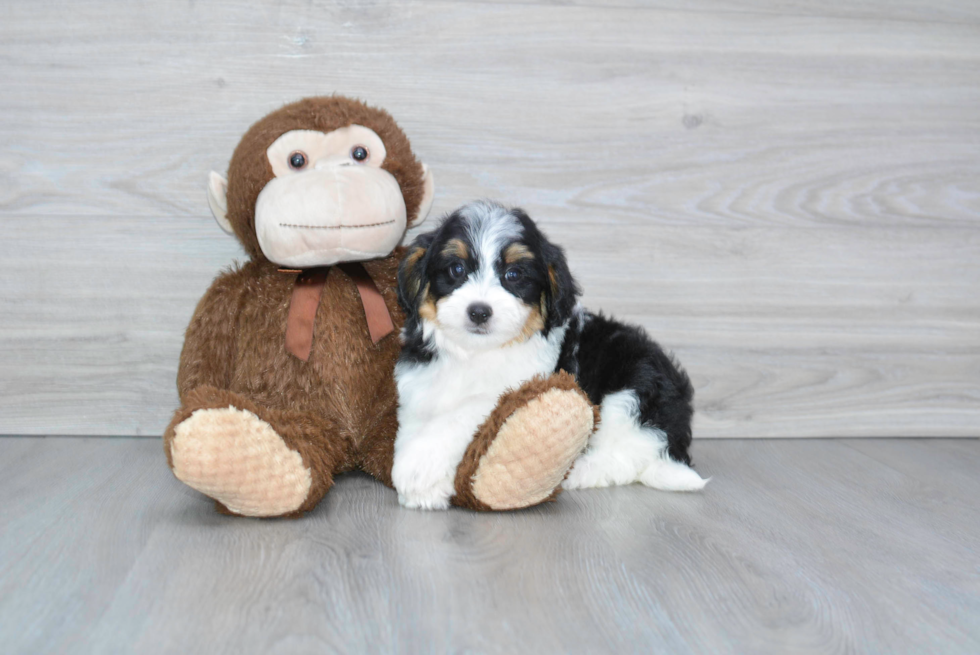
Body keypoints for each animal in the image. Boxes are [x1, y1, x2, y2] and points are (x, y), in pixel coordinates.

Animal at [390, 202, 704, 510]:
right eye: (456, 269)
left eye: (514, 275)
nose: (479, 311)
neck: (473, 352)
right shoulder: (419, 385)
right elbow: (413, 422)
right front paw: (424, 483)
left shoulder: (512, 387)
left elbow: (457, 417)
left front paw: (417, 470)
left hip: (633, 387)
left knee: (626, 455)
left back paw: (577, 471)